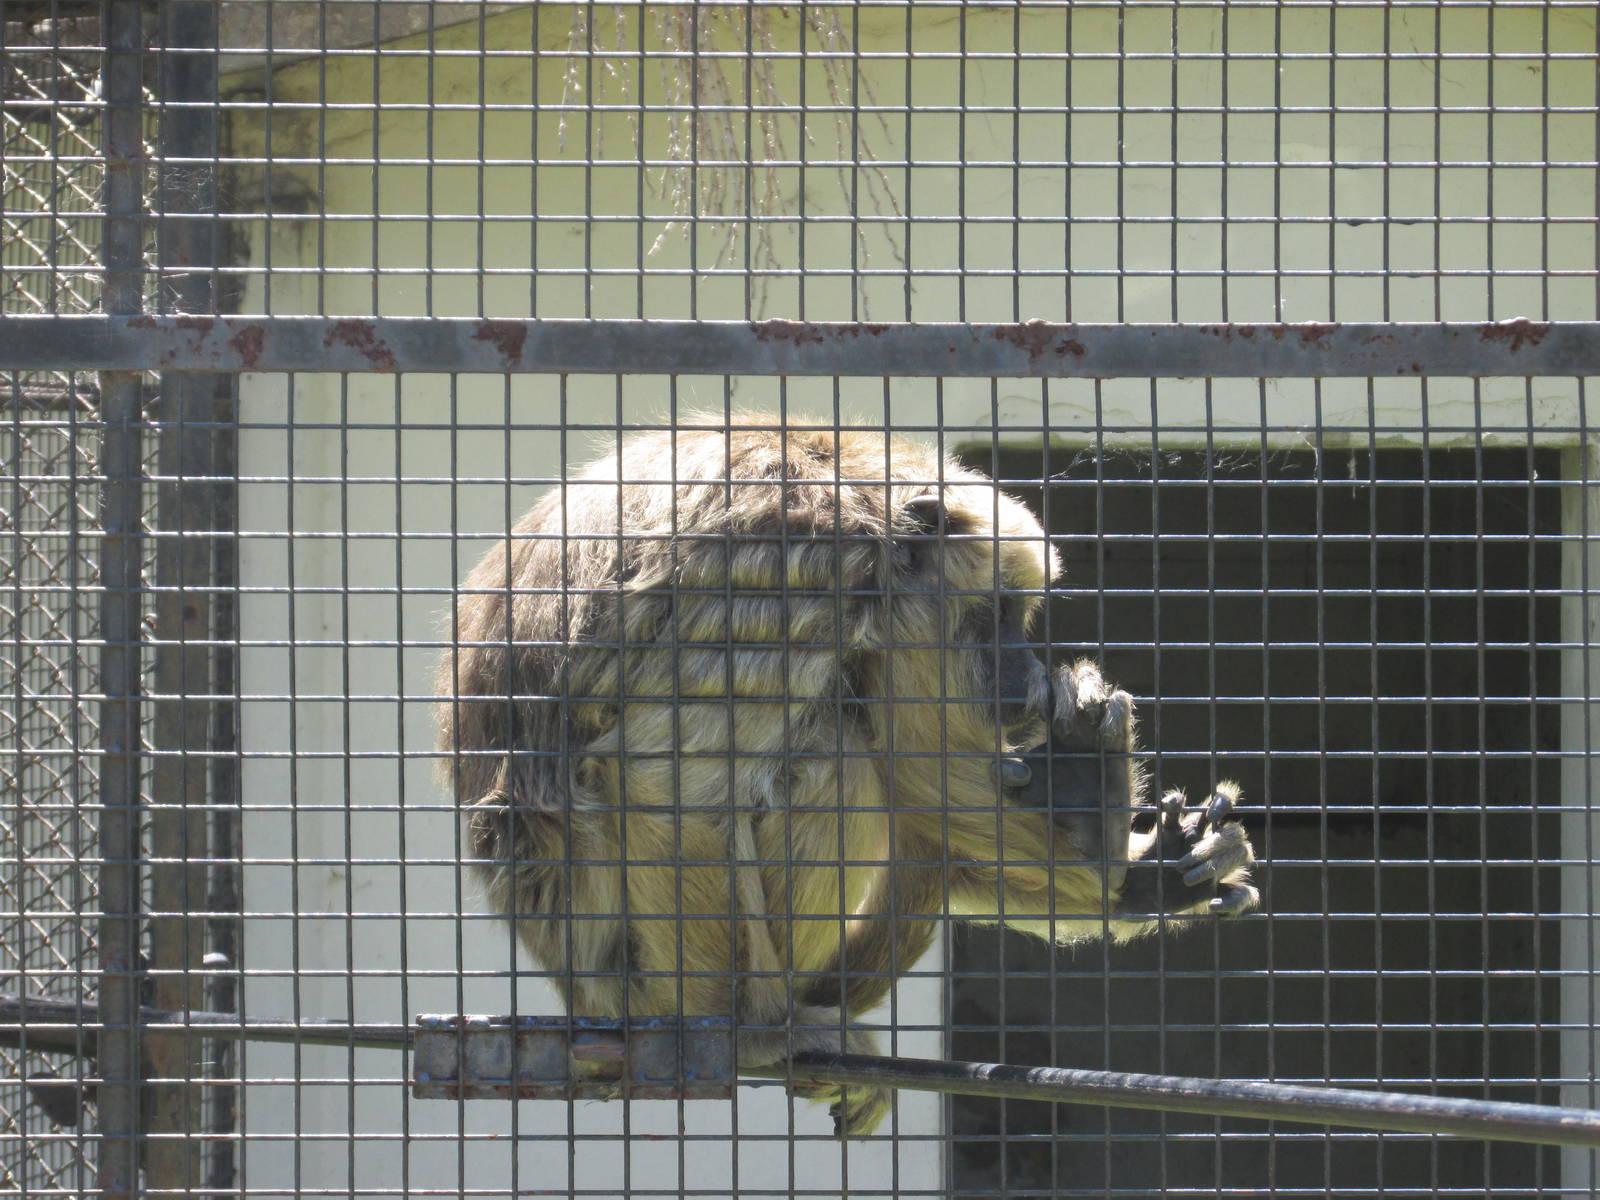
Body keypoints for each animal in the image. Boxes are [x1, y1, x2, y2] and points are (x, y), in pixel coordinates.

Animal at [436, 416, 1258, 1136]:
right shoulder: (790, 569)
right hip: (627, 973)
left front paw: (1142, 874)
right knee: (834, 749)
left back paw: (1096, 837)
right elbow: (665, 789)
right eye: (997, 614)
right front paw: (747, 1039)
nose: (1026, 678)